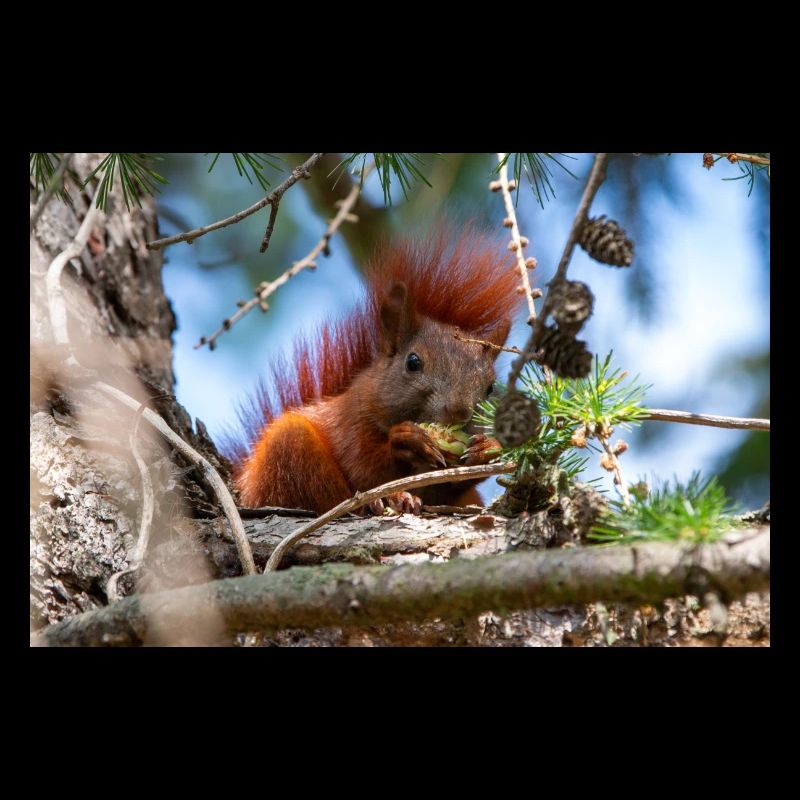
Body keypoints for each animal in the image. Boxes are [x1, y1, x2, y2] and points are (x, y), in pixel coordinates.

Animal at [229, 227, 520, 515]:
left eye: (490, 387)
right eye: (413, 363)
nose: (458, 411)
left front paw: (489, 448)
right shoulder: (350, 423)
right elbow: (365, 468)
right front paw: (405, 440)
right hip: (288, 451)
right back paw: (387, 500)